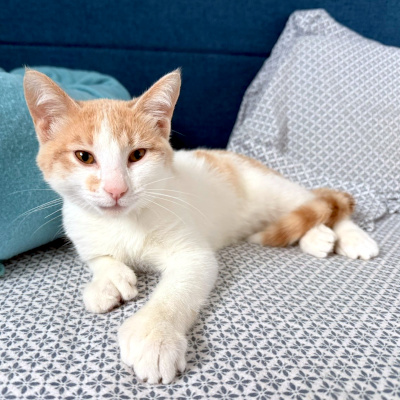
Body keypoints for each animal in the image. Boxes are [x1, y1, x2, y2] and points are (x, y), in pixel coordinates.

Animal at [24, 69, 379, 384]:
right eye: (84, 157)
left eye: (137, 155)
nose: (116, 189)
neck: (124, 222)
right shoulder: (80, 228)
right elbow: (98, 258)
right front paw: (107, 282)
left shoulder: (193, 254)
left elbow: (176, 291)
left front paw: (154, 336)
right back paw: (317, 237)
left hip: (276, 191)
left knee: (318, 203)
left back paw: (352, 237)